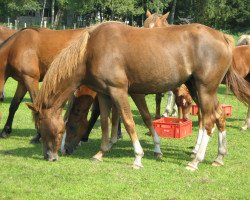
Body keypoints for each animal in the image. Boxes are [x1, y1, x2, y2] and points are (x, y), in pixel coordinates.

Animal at [27, 22, 250, 172]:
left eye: (68, 127)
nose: (51, 156)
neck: (90, 51)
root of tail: (223, 37)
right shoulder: (105, 94)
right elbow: (108, 123)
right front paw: (101, 152)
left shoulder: (119, 91)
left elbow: (128, 122)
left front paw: (138, 157)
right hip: (197, 87)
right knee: (219, 115)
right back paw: (219, 156)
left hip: (204, 89)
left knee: (209, 121)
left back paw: (195, 161)